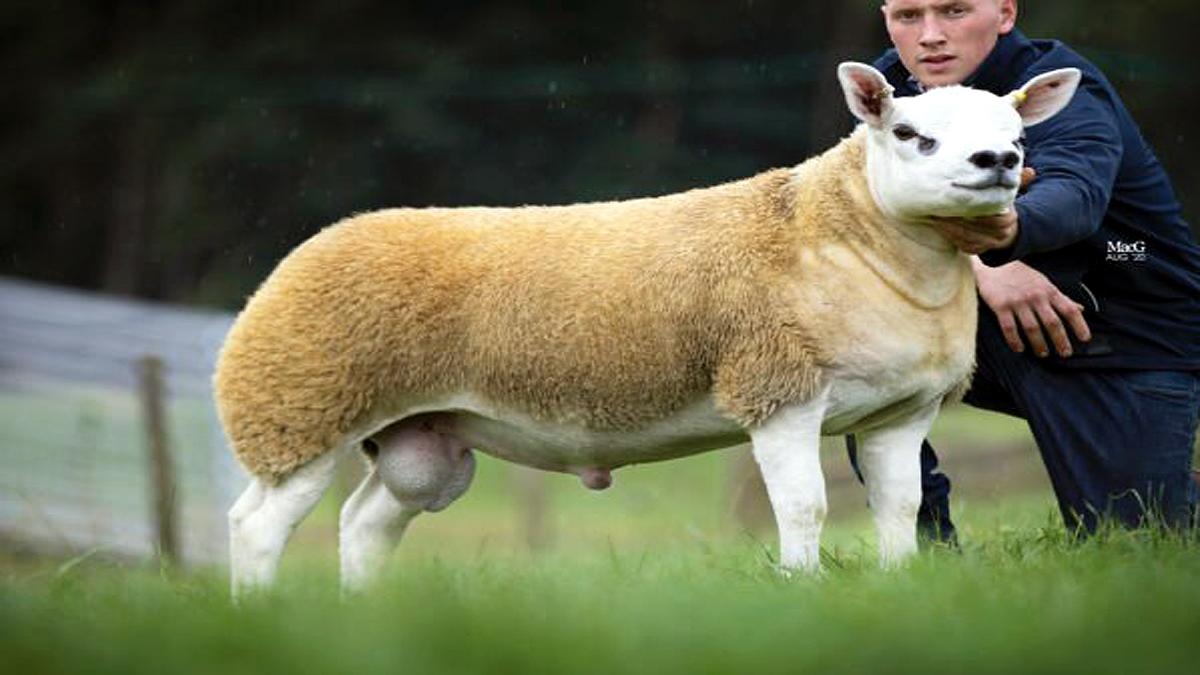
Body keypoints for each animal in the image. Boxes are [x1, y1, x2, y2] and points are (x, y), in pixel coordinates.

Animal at [215, 62, 1080, 597]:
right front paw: (801, 589)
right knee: (256, 525)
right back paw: (257, 612)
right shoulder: (777, 389)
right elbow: (805, 508)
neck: (852, 236)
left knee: (365, 521)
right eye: (910, 134)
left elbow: (901, 509)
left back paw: (361, 612)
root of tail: (307, 250)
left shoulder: (903, 412)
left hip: (419, 438)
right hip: (298, 406)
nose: (997, 160)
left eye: (1018, 134)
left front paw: (898, 587)